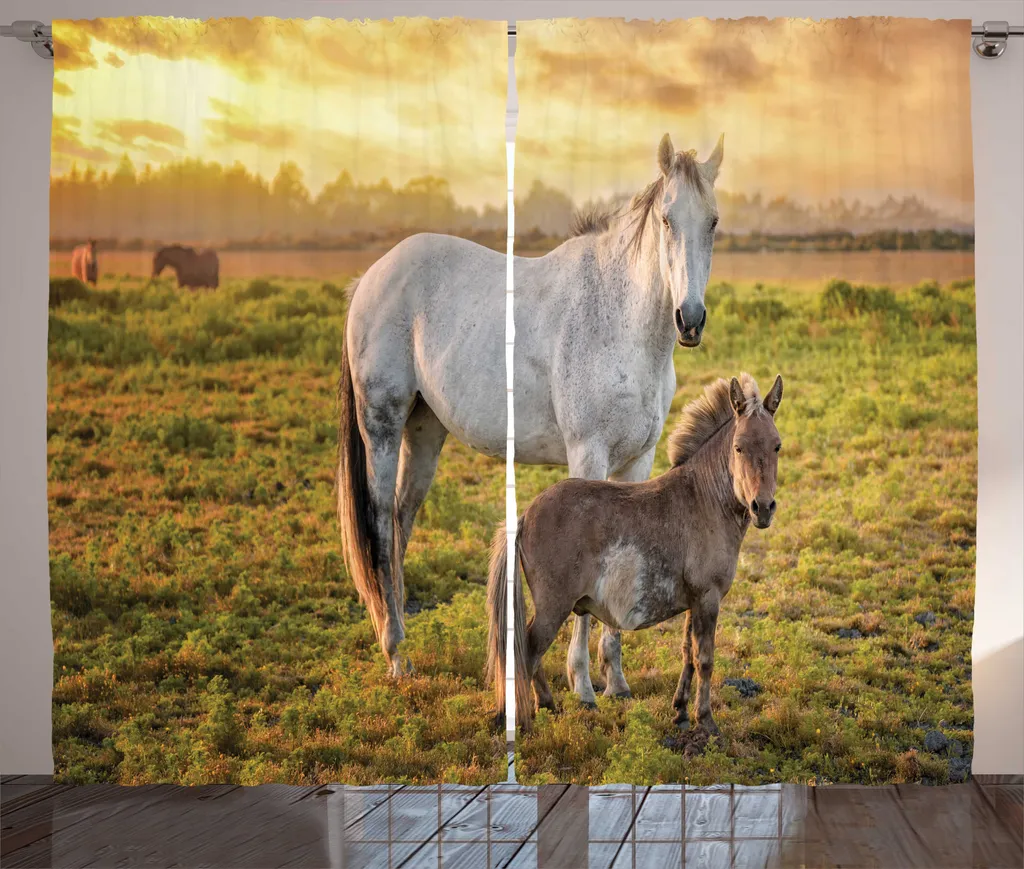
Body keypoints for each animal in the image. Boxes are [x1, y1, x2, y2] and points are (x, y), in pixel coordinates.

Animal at [338, 132, 724, 679]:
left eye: (712, 222)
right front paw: (581, 677)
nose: (689, 319)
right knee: (379, 523)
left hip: (424, 431)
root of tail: (371, 278)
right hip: (383, 425)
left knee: (400, 520)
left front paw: (615, 677)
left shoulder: (638, 460)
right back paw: (395, 653)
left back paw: (402, 641)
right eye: (668, 219)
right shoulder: (589, 456)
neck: (619, 317)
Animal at [487, 373, 784, 732]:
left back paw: (549, 706)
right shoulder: (708, 598)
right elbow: (705, 659)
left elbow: (687, 654)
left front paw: (681, 712)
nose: (763, 508)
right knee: (528, 652)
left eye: (776, 445)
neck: (704, 499)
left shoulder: (694, 600)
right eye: (739, 447)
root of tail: (525, 515)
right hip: (553, 607)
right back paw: (531, 718)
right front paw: (706, 721)